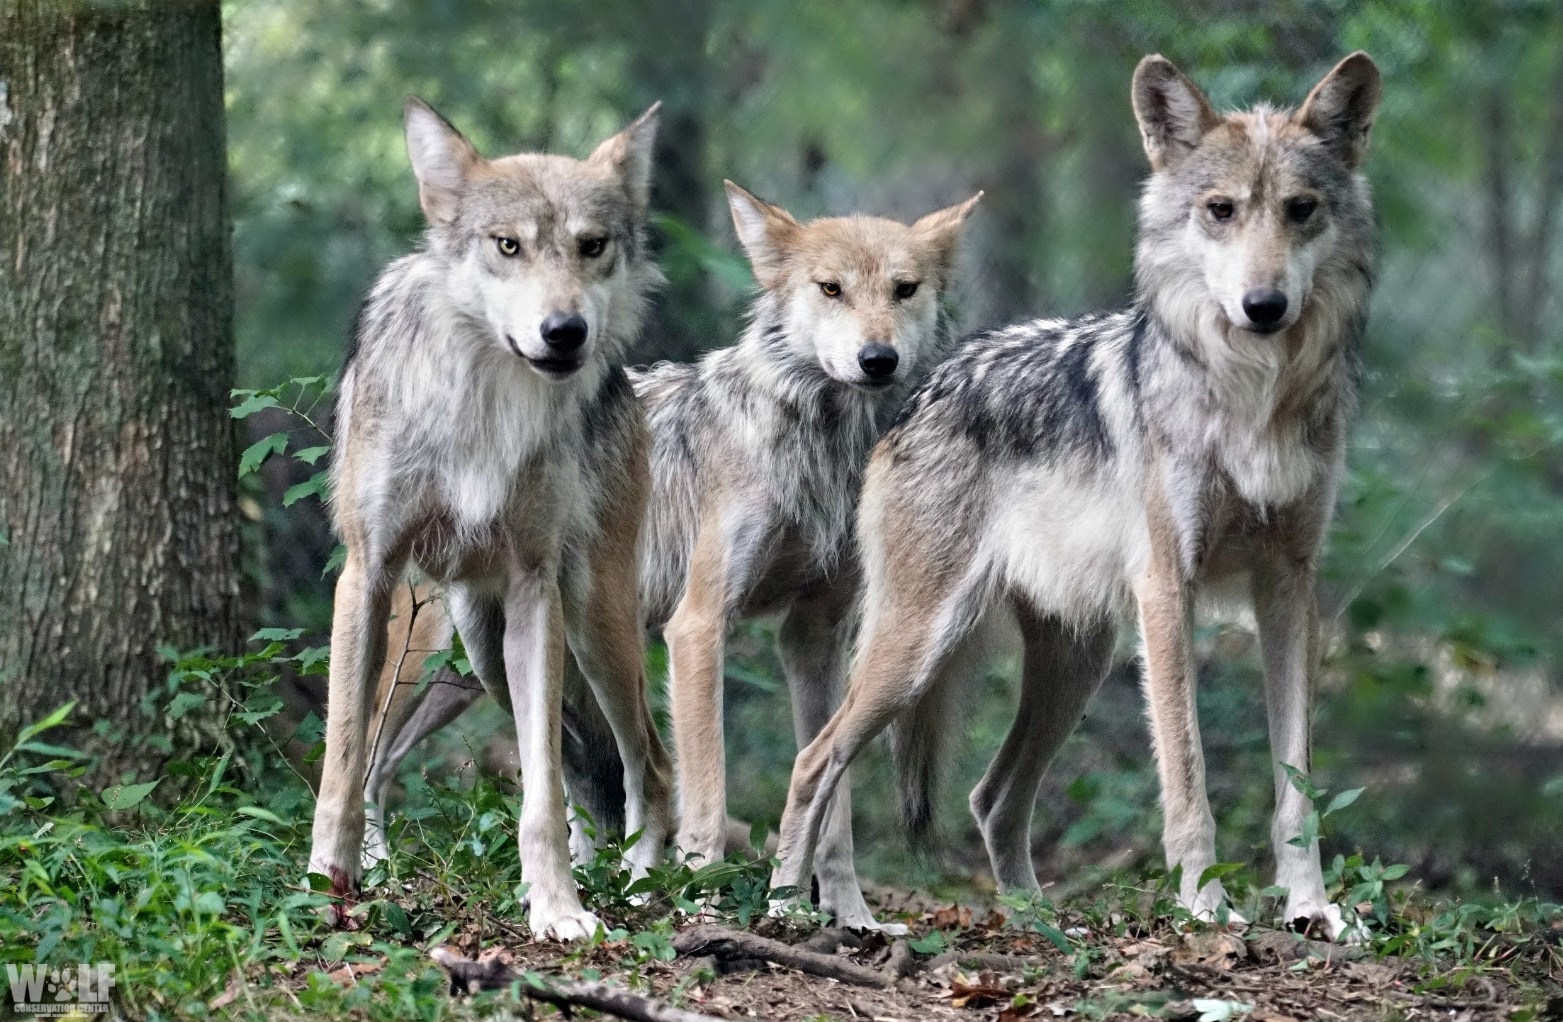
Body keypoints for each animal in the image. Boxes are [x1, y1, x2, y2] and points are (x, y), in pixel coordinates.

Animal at [303, 98, 672, 943]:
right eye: (508, 245)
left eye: (591, 246)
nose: (565, 332)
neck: (485, 397)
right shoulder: (366, 575)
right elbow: (341, 762)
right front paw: (325, 886)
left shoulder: (536, 588)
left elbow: (539, 795)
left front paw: (558, 909)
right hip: (463, 651)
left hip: (589, 629)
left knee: (646, 765)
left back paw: (643, 887)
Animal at [359, 180, 981, 931]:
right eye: (830, 289)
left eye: (903, 289)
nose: (877, 359)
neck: (819, 450)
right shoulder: (697, 626)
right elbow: (708, 794)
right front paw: (703, 906)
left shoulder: (813, 635)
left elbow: (832, 802)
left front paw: (849, 915)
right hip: (451, 665)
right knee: (375, 760)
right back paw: (376, 872)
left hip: (496, 670)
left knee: (575, 772)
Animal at [768, 50, 1381, 943]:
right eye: (1220, 211)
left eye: (1299, 211)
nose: (1262, 306)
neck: (1251, 394)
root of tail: (923, 391)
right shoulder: (1167, 590)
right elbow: (1187, 775)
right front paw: (1205, 906)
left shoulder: (1290, 590)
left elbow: (1295, 787)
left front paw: (1311, 910)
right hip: (918, 649)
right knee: (815, 760)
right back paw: (786, 905)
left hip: (1075, 663)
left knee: (990, 798)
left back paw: (1038, 921)